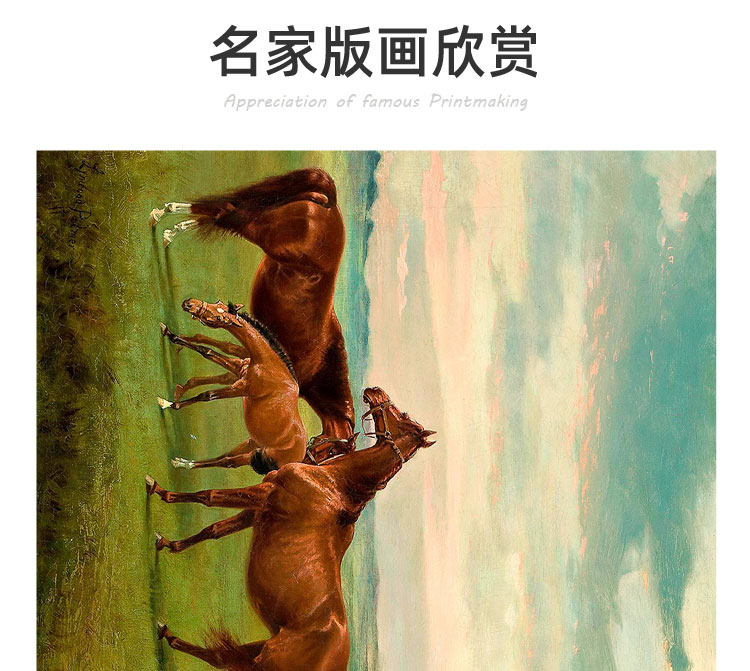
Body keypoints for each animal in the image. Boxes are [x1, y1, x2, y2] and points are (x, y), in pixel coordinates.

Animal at [145, 387, 435, 671]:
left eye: (403, 414)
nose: (374, 391)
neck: (336, 484)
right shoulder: (258, 511)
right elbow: (214, 529)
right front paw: (169, 543)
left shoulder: (263, 494)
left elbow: (209, 496)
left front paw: (159, 490)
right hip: (260, 649)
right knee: (219, 656)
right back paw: (166, 633)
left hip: (265, 659)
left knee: (217, 657)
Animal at [150, 168, 356, 447]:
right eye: (333, 448)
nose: (304, 449)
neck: (320, 362)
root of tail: (329, 202)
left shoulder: (247, 355)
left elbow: (216, 352)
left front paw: (179, 384)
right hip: (259, 226)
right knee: (225, 212)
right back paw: (165, 224)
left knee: (224, 209)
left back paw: (166, 224)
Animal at [157, 298, 353, 474]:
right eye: (217, 302)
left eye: (220, 318)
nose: (189, 304)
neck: (269, 365)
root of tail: (299, 456)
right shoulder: (238, 370)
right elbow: (207, 351)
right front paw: (170, 334)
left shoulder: (241, 388)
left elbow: (207, 395)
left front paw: (168, 404)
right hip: (251, 443)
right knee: (225, 456)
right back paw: (184, 463)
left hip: (254, 455)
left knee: (228, 462)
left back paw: (184, 464)